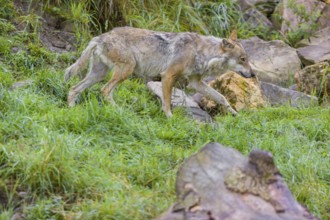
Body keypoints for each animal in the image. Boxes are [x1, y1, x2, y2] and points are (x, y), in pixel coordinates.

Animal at [64, 26, 255, 117]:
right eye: (243, 59)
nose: (253, 74)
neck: (202, 53)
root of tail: (100, 37)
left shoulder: (196, 82)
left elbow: (221, 97)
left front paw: (235, 114)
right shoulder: (168, 75)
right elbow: (167, 101)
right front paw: (169, 117)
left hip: (100, 74)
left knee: (74, 88)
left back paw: (72, 109)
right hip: (125, 70)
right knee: (104, 91)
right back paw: (119, 111)